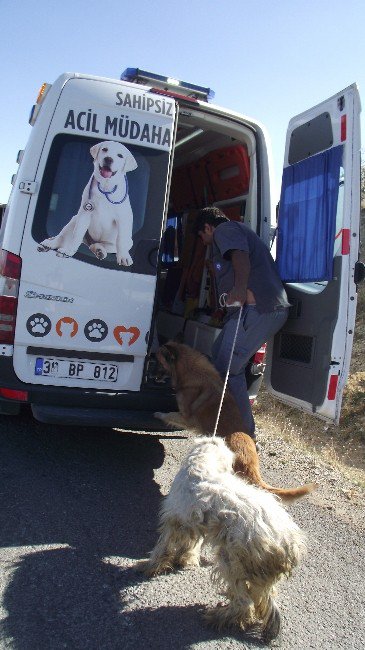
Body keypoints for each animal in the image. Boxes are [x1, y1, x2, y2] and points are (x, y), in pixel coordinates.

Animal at [144, 432, 306, 640]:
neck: (203, 465)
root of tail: (290, 545)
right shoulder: (194, 523)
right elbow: (192, 544)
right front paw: (186, 559)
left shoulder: (175, 518)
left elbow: (163, 546)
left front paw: (151, 566)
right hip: (257, 575)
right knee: (262, 601)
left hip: (232, 562)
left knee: (244, 603)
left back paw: (220, 617)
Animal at [154, 340, 316, 502]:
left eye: (157, 361)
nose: (150, 373)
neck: (191, 368)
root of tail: (250, 462)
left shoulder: (185, 417)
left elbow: (168, 415)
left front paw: (158, 414)